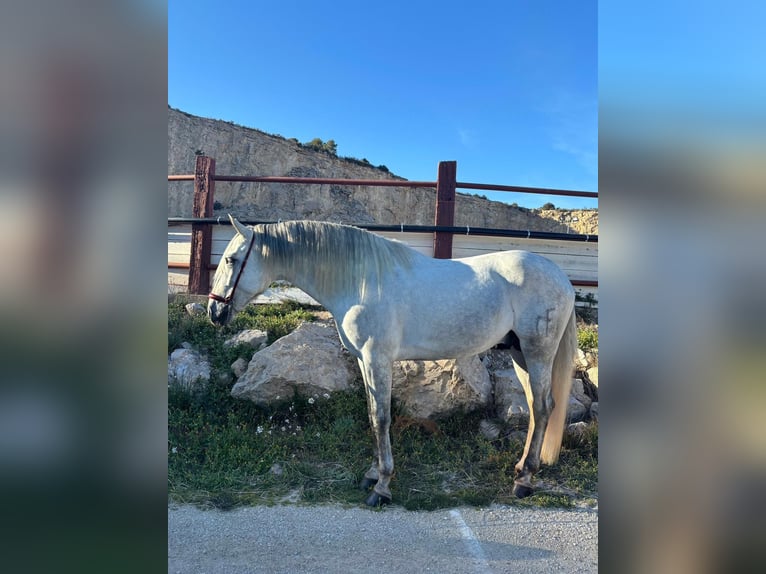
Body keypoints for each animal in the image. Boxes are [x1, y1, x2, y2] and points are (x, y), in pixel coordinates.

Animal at [210, 217, 576, 508]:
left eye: (231, 259)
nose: (214, 311)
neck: (360, 281)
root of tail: (563, 279)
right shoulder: (365, 361)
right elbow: (373, 414)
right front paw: (372, 475)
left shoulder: (377, 359)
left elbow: (382, 418)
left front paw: (382, 487)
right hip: (519, 353)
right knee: (536, 407)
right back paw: (520, 469)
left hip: (537, 352)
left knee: (542, 406)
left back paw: (525, 481)